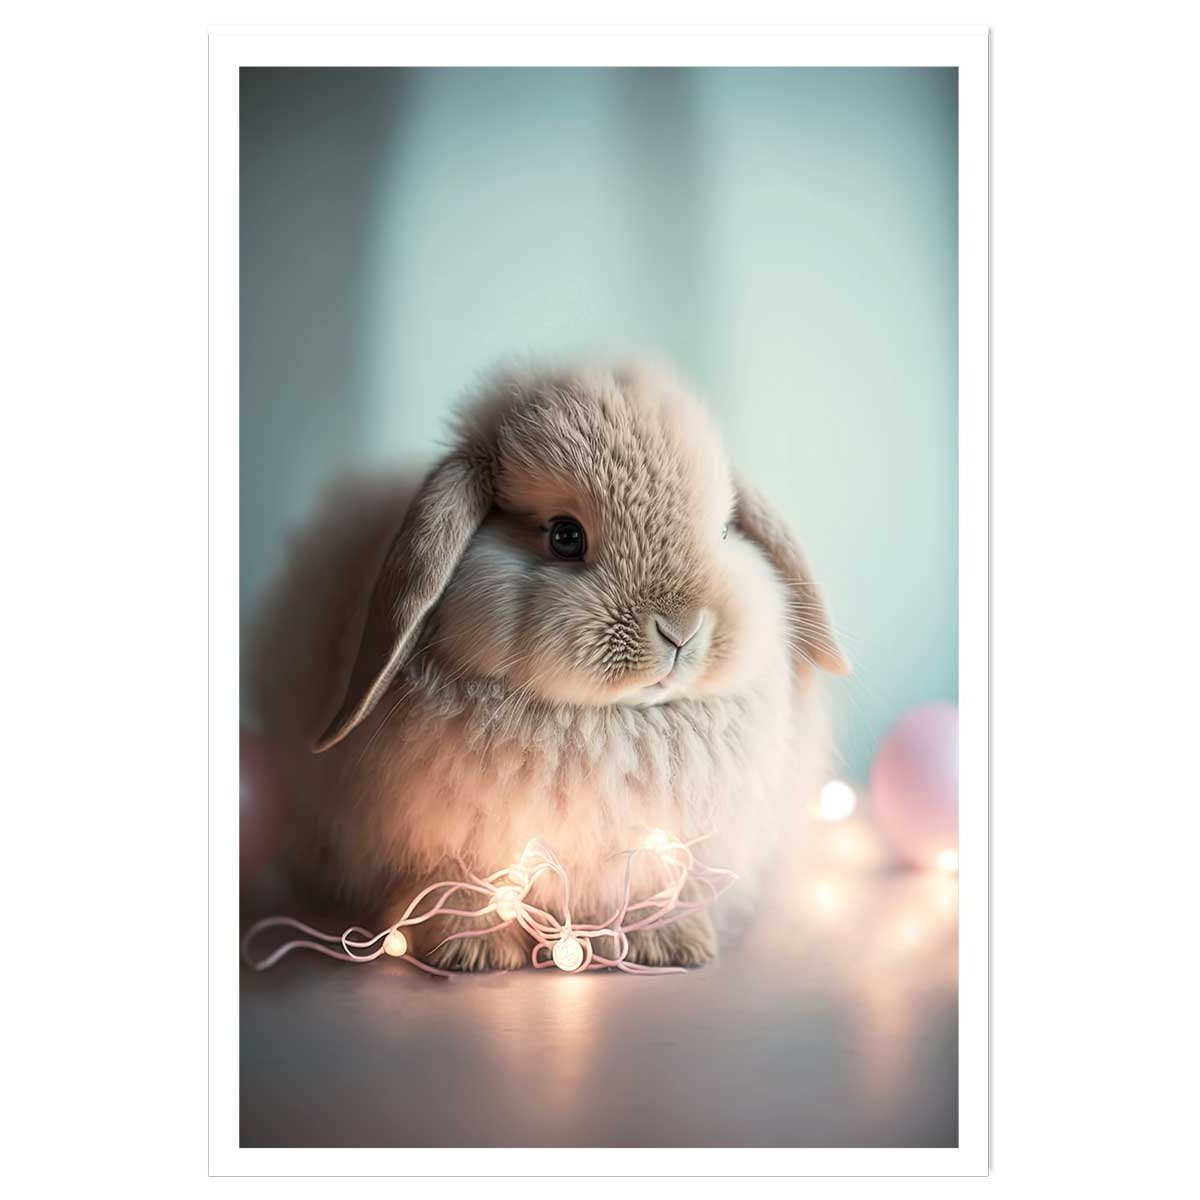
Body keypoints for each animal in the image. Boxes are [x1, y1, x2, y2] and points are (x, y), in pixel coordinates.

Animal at [246, 361, 849, 970]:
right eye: (565, 536)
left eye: (724, 531)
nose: (680, 629)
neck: (609, 721)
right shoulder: (450, 846)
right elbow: (463, 886)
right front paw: (473, 952)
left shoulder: (656, 847)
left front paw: (669, 944)